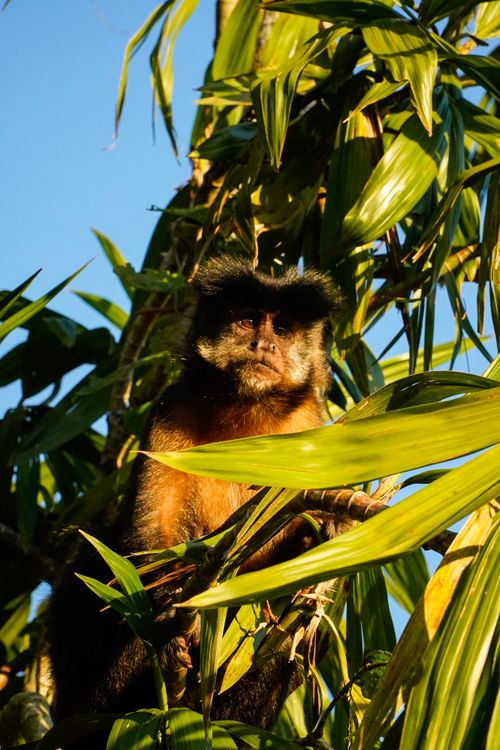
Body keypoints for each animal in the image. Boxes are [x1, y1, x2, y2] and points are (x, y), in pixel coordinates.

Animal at [47, 255, 341, 746]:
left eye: (281, 328)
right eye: (248, 321)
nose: (264, 344)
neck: (245, 409)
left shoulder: (311, 424)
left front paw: (329, 532)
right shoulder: (172, 409)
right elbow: (150, 538)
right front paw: (172, 628)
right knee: (91, 562)